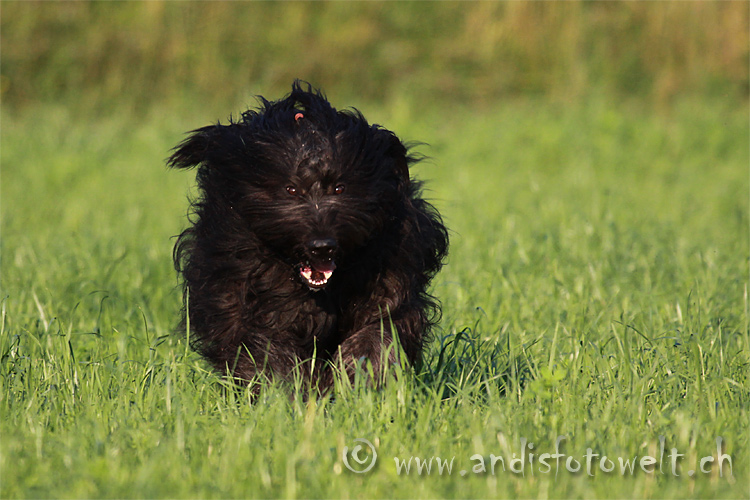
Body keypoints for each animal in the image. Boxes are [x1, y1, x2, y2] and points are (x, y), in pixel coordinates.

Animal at [168, 82, 450, 390]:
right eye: (291, 189)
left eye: (339, 187)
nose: (322, 247)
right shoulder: (245, 296)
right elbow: (266, 346)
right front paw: (282, 391)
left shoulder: (391, 275)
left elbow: (379, 329)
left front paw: (358, 377)